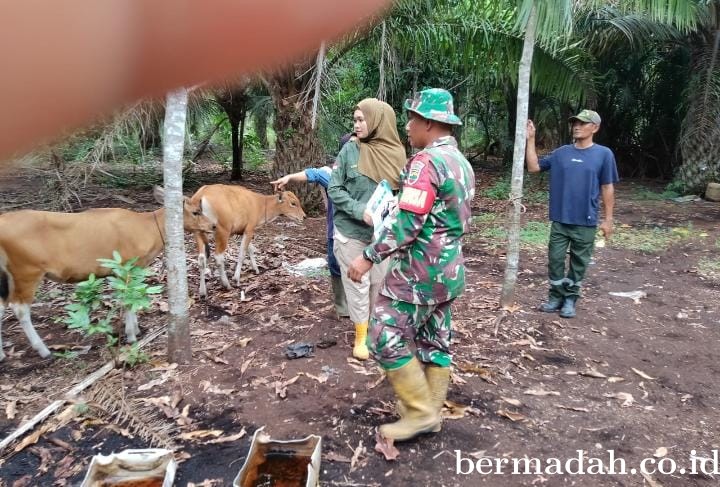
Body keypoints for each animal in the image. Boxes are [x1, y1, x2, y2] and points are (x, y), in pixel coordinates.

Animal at [0, 187, 214, 362]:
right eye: (195, 212)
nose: (212, 225)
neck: (147, 228)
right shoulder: (126, 265)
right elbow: (127, 299)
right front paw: (131, 335)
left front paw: (136, 329)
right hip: (27, 271)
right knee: (20, 309)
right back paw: (44, 350)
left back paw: (3, 355)